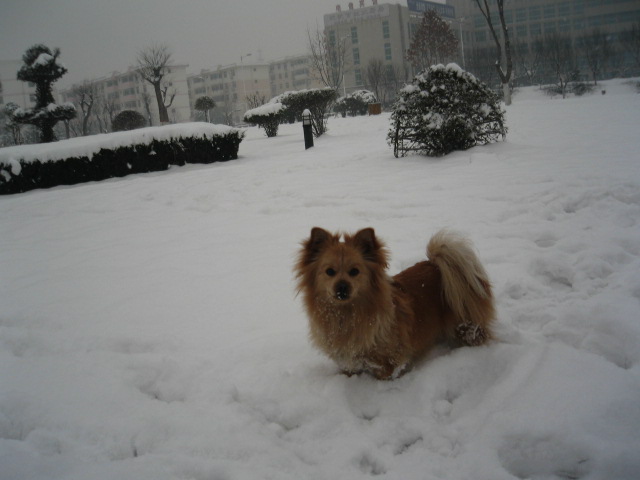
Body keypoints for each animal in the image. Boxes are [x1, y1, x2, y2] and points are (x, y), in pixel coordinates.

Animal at [296, 227, 496, 380]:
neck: (346, 315)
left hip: (465, 326)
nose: (342, 287)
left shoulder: (389, 363)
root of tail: (436, 265)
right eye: (329, 271)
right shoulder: (347, 361)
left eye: (354, 271)